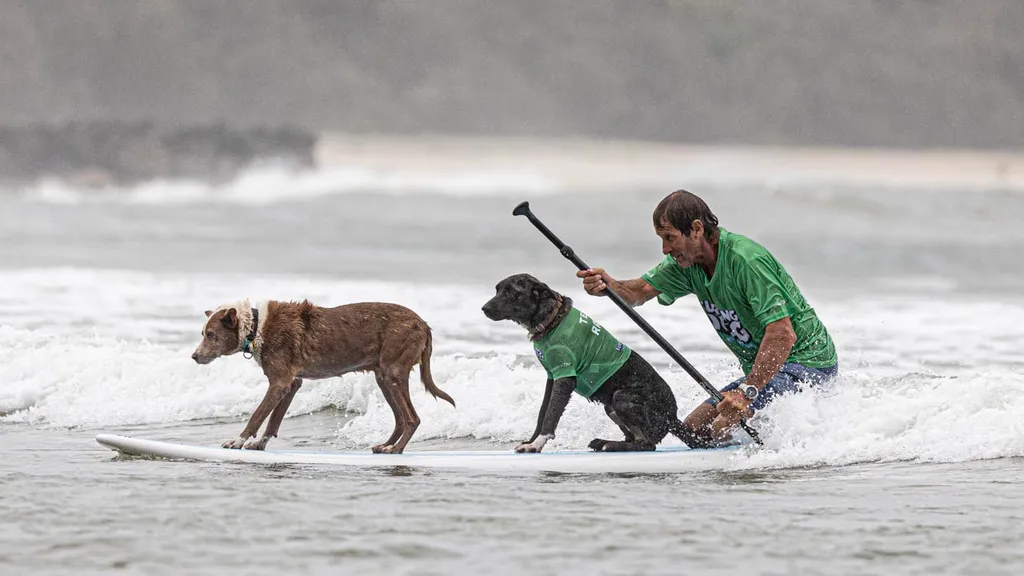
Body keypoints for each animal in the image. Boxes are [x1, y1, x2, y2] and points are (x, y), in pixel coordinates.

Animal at [190, 295, 454, 453]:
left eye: (210, 335)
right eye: (203, 333)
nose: (194, 356)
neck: (255, 328)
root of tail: (423, 323)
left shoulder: (279, 382)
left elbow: (257, 415)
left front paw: (237, 441)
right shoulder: (292, 383)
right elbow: (274, 420)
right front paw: (260, 443)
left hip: (393, 373)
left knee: (412, 418)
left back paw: (396, 449)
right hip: (384, 377)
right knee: (400, 419)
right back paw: (385, 446)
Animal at [483, 270, 700, 450]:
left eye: (511, 292)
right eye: (497, 289)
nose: (484, 308)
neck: (553, 319)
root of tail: (672, 418)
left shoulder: (564, 377)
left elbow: (551, 416)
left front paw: (536, 445)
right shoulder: (552, 376)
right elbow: (542, 413)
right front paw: (531, 440)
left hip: (622, 397)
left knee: (647, 444)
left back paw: (611, 445)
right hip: (610, 407)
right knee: (633, 438)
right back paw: (605, 442)